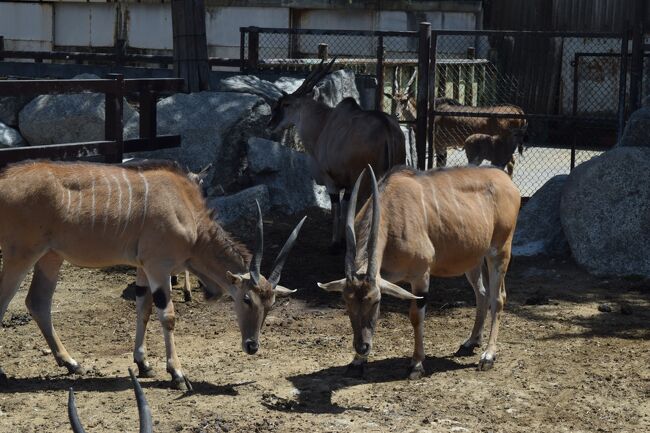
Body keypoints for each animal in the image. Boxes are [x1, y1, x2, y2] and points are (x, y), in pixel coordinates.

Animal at [0, 159, 306, 388]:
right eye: (246, 299)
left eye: (271, 304)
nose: (252, 345)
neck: (187, 210)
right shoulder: (159, 266)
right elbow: (167, 316)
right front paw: (177, 374)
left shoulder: (143, 268)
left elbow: (143, 309)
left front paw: (143, 363)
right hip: (21, 255)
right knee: (7, 300)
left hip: (51, 257)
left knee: (38, 302)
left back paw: (71, 363)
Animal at [266, 59, 402, 251]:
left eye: (286, 104)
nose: (270, 124)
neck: (324, 123)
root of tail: (386, 127)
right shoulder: (349, 184)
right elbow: (346, 208)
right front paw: (344, 241)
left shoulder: (332, 181)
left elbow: (337, 209)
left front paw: (335, 243)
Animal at [316, 165, 520, 378]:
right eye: (346, 302)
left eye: (376, 301)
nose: (362, 347)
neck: (391, 211)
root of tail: (506, 180)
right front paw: (357, 362)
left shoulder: (421, 276)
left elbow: (416, 316)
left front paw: (416, 364)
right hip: (473, 260)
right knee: (482, 294)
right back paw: (470, 343)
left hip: (499, 253)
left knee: (498, 298)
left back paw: (488, 356)